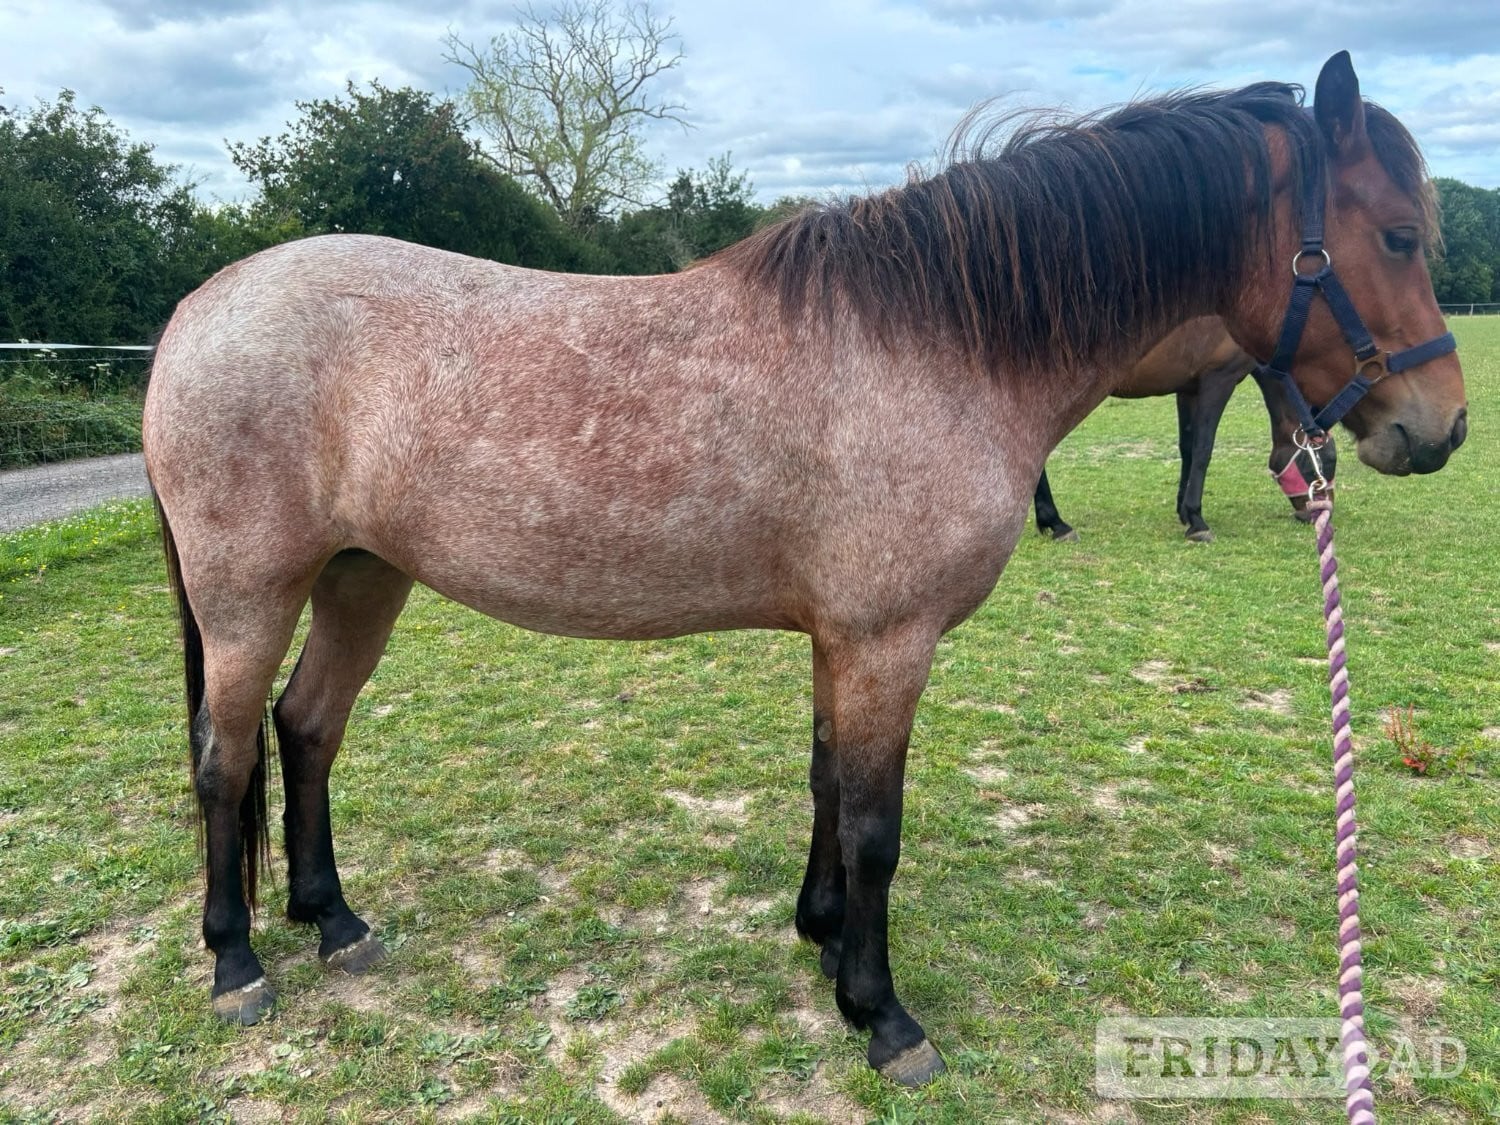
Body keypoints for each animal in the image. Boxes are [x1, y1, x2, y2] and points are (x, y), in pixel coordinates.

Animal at [1032, 317, 1339, 542]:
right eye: (1328, 459)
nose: (1324, 513)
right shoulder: (1219, 380)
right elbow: (1204, 449)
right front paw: (1197, 522)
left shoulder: (1189, 389)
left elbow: (1188, 449)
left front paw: (1184, 511)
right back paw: (1056, 523)